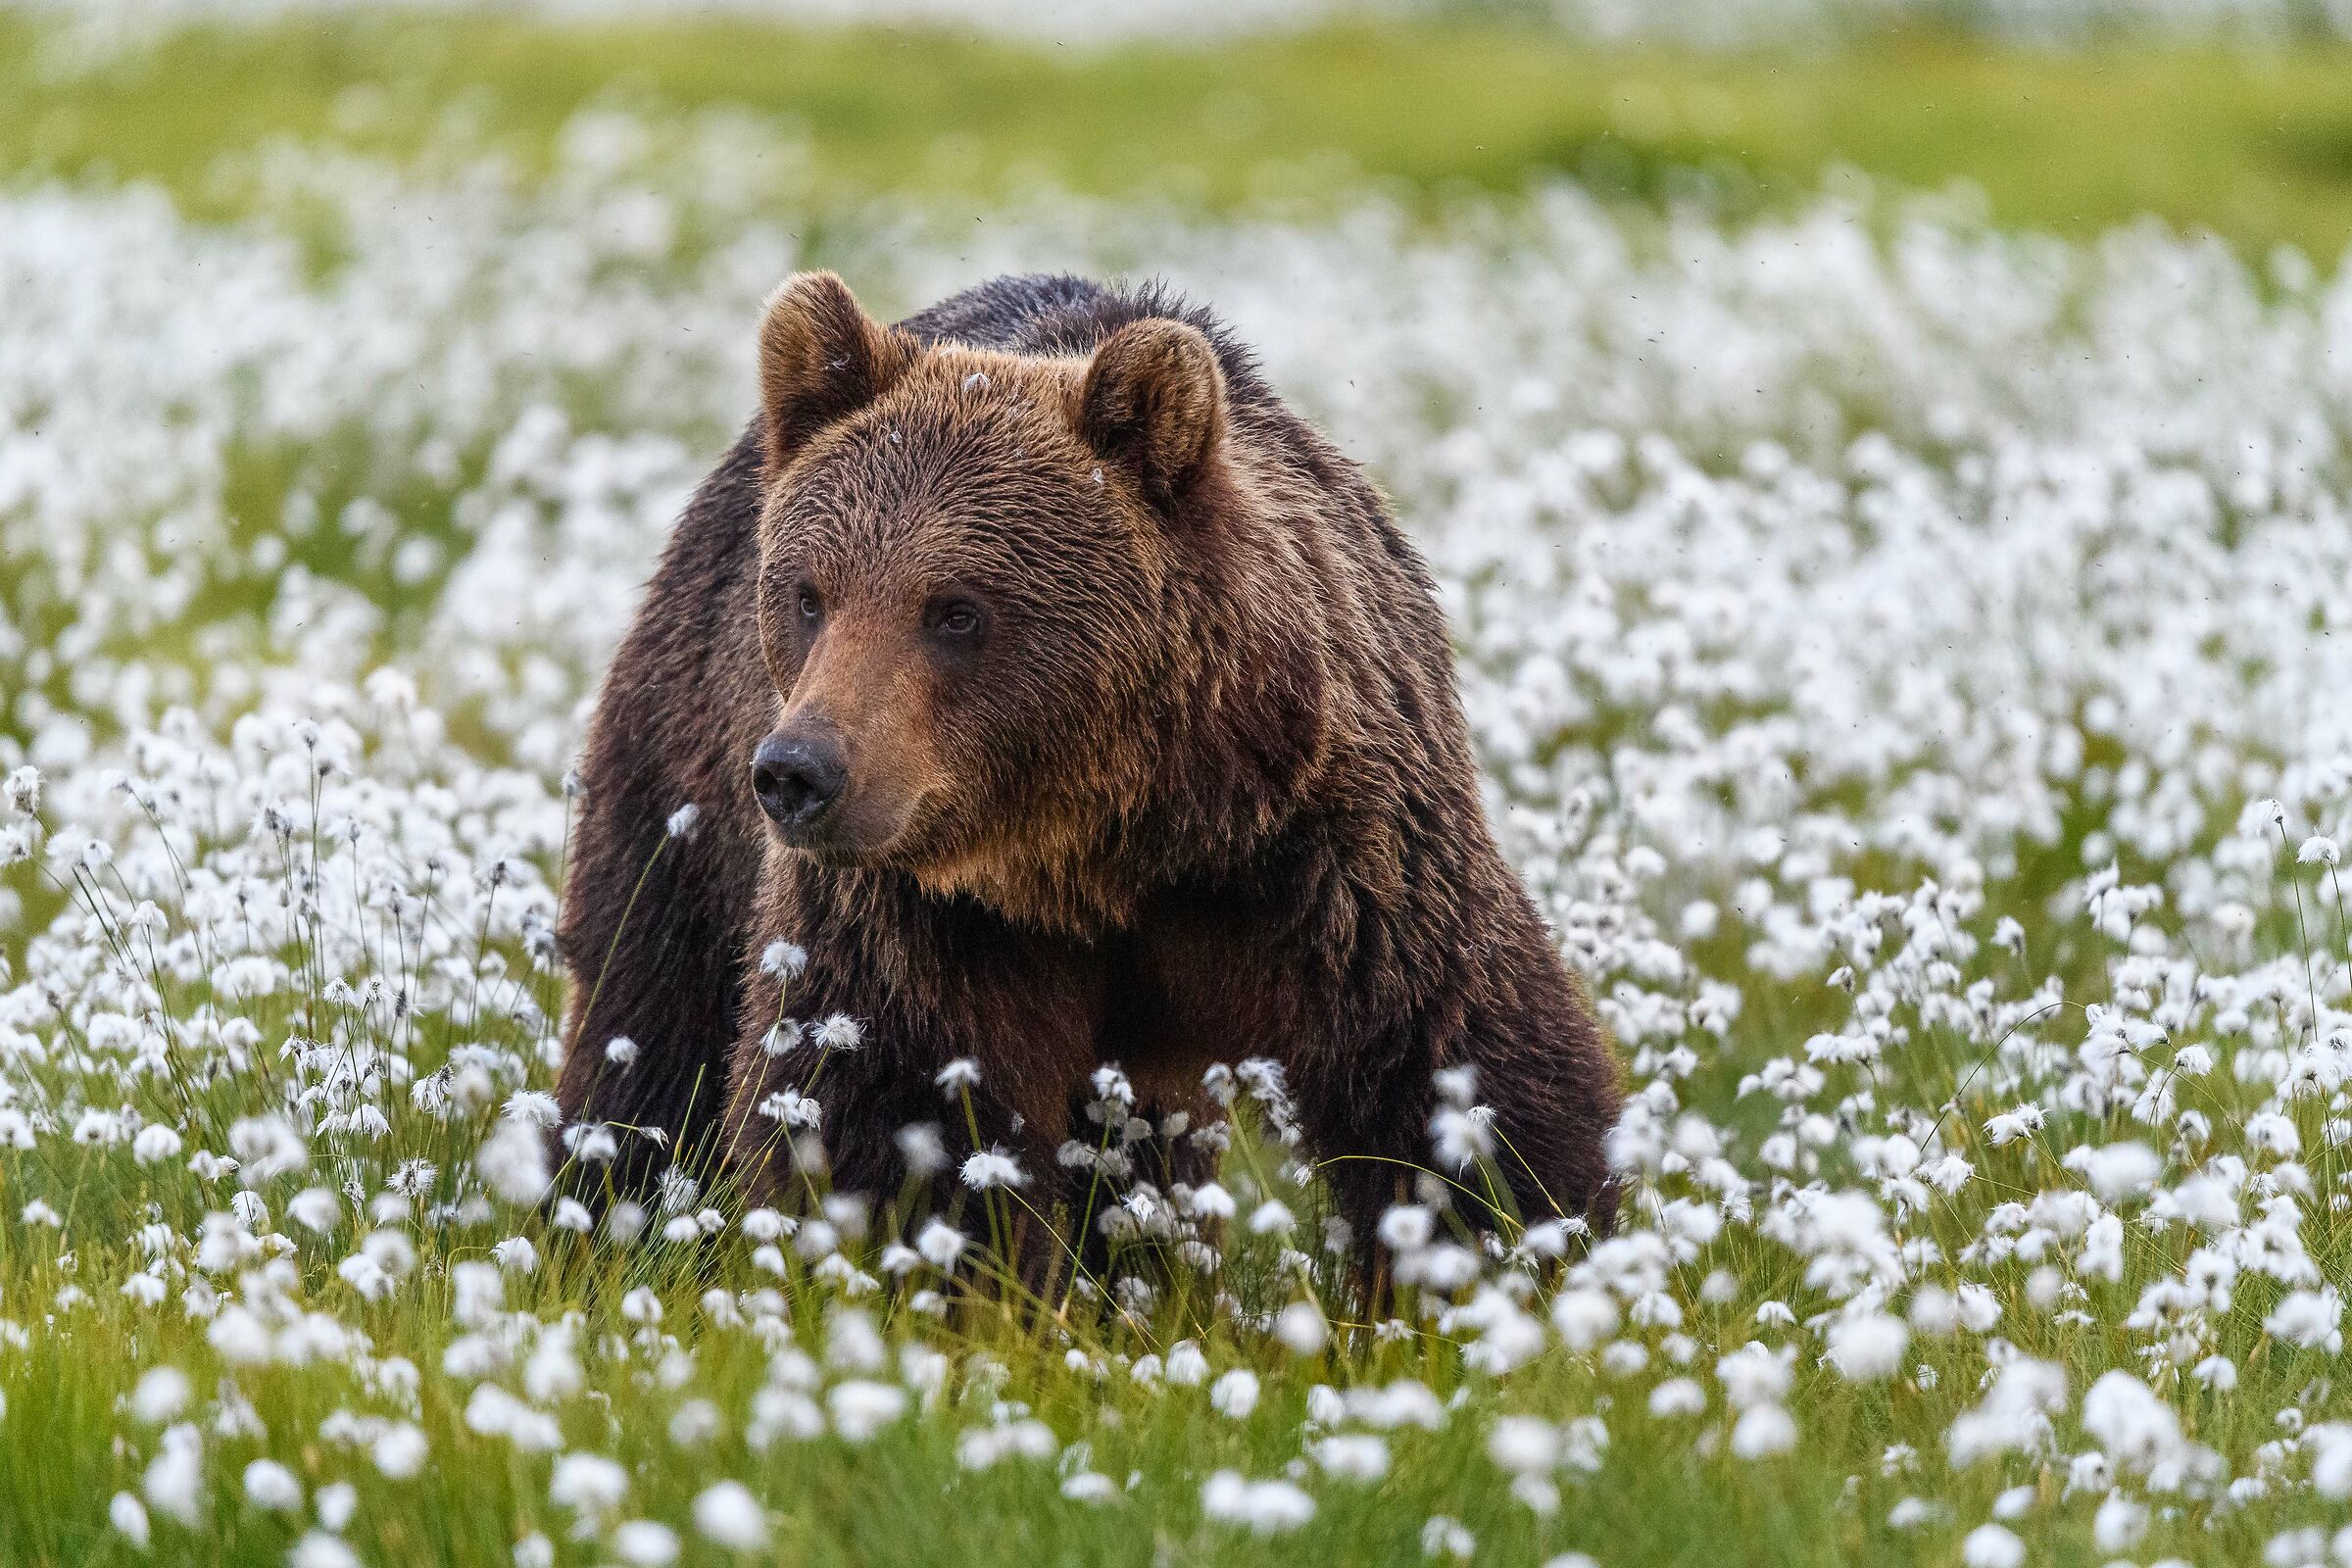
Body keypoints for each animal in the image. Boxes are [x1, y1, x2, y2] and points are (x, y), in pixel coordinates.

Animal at [553, 270, 1621, 1289]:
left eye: (956, 610)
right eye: (811, 594)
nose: (798, 772)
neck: (1104, 844)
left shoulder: (1330, 854)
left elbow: (1448, 1060)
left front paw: (1523, 1261)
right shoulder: (926, 909)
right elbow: (892, 1097)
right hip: (684, 780)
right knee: (654, 1016)